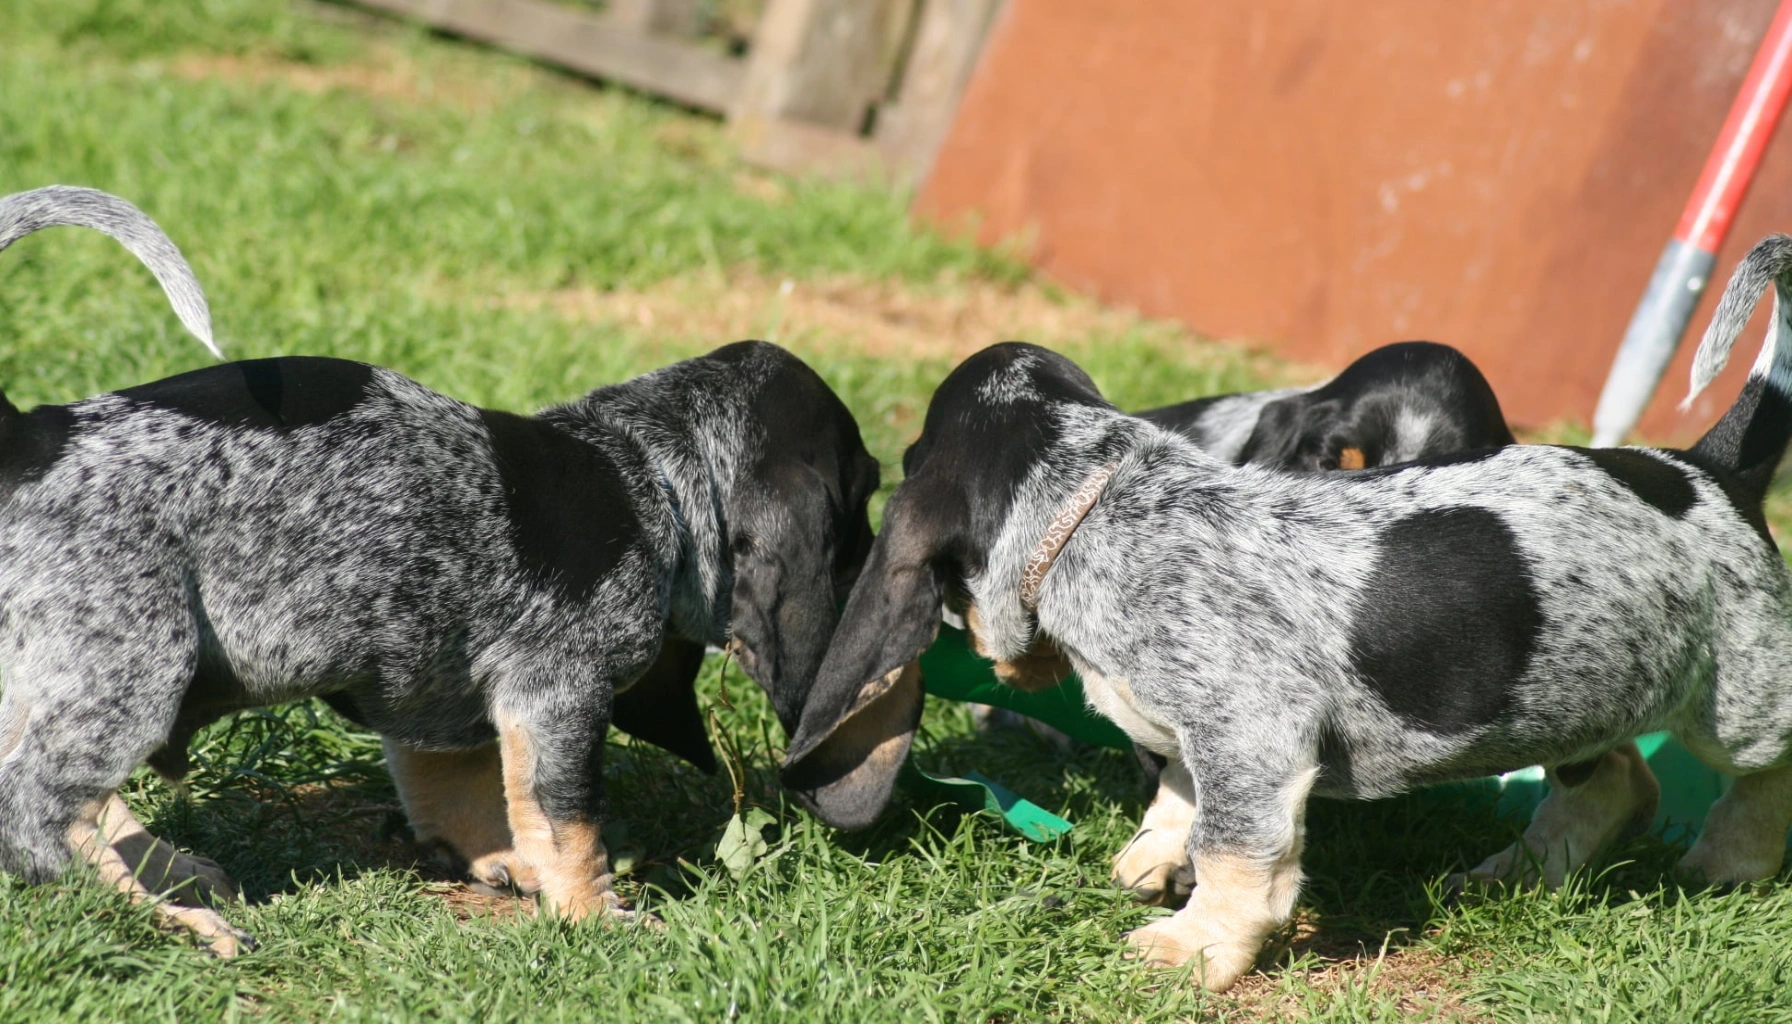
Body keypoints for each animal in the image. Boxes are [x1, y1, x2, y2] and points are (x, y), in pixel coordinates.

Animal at [0, 188, 881, 961]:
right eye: (865, 493)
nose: (877, 560)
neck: (645, 470)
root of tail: (33, 432)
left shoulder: (433, 691)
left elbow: (465, 792)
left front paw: (508, 865)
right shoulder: (558, 694)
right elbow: (569, 820)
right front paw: (593, 912)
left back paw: (170, 874)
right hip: (136, 672)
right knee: (36, 817)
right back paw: (169, 916)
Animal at [784, 234, 1792, 997]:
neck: (1099, 499)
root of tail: (1712, 469)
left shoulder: (1253, 737)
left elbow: (1238, 854)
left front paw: (1193, 946)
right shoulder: (1200, 733)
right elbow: (1180, 794)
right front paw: (1156, 856)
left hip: (1734, 706)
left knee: (1755, 774)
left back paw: (1731, 861)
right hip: (1569, 687)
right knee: (1619, 779)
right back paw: (1522, 873)